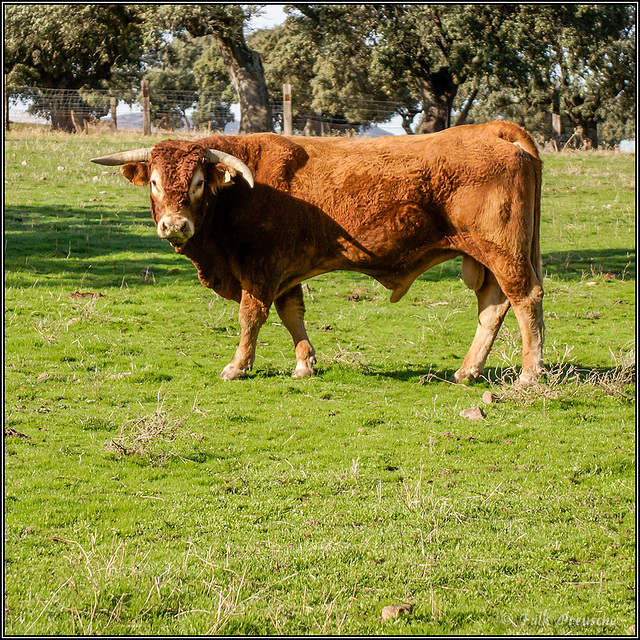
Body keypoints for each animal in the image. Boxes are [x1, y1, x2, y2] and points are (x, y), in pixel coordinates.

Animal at [90, 124, 544, 384]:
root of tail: (494, 130)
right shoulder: (284, 273)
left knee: (526, 300)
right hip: (487, 258)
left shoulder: (260, 268)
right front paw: (305, 364)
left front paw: (238, 366)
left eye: (199, 182)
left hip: (504, 252)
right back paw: (467, 371)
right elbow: (292, 314)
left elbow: (251, 316)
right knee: (493, 307)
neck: (239, 193)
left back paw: (529, 374)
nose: (175, 226)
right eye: (153, 181)